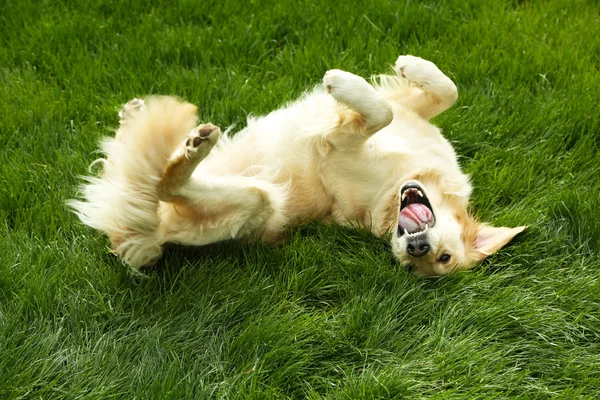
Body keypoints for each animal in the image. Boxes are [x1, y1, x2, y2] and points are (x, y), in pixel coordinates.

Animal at [68, 54, 524, 276]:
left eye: (436, 263)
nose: (416, 250)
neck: (404, 180)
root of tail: (150, 241)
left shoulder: (341, 143)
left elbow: (378, 113)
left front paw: (341, 82)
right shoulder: (411, 112)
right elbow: (444, 91)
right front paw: (410, 65)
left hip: (259, 199)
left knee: (165, 184)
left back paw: (191, 149)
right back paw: (136, 117)